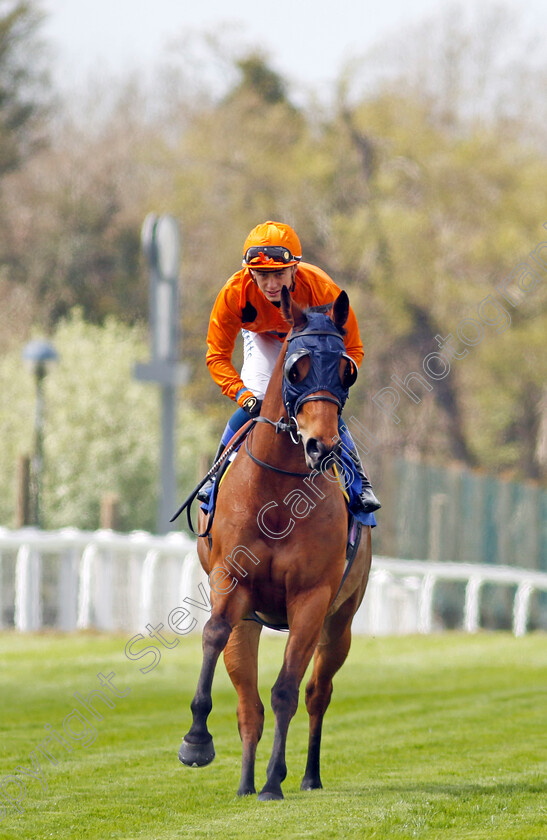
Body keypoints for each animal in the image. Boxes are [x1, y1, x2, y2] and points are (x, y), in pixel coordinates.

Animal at [179, 288, 372, 800]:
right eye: (295, 370)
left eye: (346, 370)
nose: (320, 445)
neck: (278, 496)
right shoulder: (230, 580)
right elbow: (213, 635)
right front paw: (196, 741)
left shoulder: (311, 598)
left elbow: (287, 688)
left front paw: (273, 780)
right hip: (252, 621)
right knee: (249, 704)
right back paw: (245, 781)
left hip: (340, 620)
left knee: (316, 693)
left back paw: (306, 775)